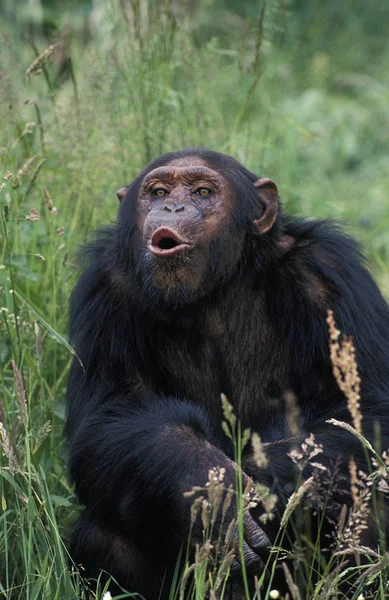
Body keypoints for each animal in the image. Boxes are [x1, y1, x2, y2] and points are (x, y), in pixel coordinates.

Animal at [65, 149, 388, 596]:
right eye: (158, 192)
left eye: (203, 192)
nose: (173, 207)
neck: (217, 289)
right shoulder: (105, 292)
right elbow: (104, 421)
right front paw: (204, 480)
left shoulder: (329, 273)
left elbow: (366, 413)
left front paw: (246, 491)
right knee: (106, 528)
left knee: (366, 505)